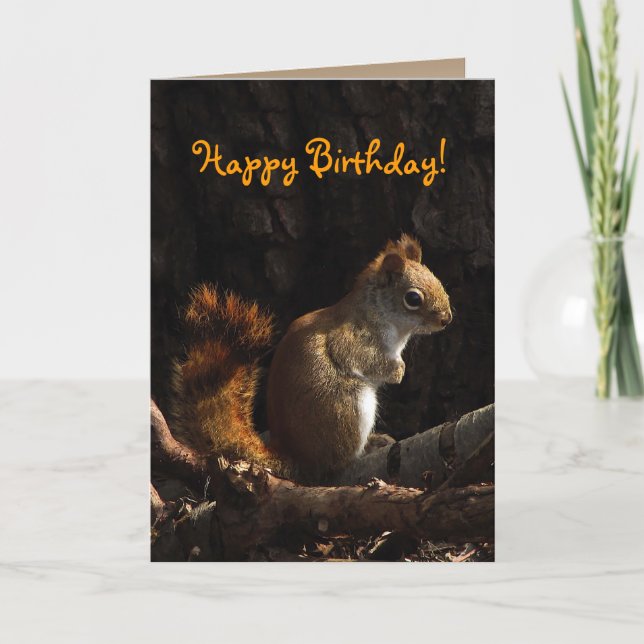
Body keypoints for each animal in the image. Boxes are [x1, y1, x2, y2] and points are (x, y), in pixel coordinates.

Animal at [170, 234, 452, 484]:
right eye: (413, 298)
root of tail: (299, 459)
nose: (447, 319)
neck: (380, 313)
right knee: (336, 463)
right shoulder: (352, 338)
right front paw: (397, 371)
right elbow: (362, 359)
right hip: (348, 407)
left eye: (437, 279)